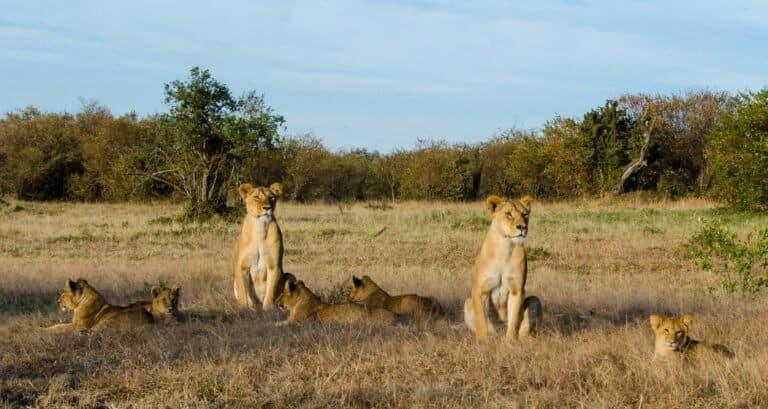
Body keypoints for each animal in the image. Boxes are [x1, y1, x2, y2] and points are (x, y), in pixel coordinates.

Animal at [234, 182, 288, 310]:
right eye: (256, 197)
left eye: (271, 198)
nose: (267, 208)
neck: (260, 226)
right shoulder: (242, 266)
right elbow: (243, 292)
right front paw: (243, 309)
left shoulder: (274, 266)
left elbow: (270, 292)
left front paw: (268, 310)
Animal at [464, 194, 536, 342]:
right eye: (508, 214)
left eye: (525, 214)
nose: (522, 227)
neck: (505, 246)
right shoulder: (480, 289)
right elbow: (481, 320)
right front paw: (482, 342)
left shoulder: (517, 289)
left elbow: (513, 319)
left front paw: (510, 341)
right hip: (467, 302)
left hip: (535, 301)